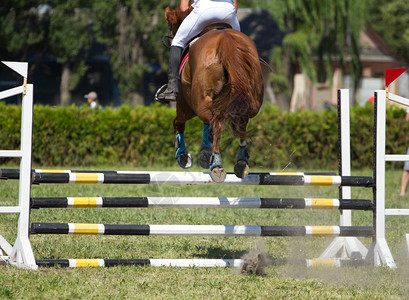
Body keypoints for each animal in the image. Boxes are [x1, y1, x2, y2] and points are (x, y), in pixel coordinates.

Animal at [164, 5, 262, 182]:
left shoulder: (186, 103)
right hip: (251, 100)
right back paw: (241, 162)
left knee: (214, 123)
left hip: (194, 103)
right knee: (239, 123)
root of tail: (226, 40)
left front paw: (184, 155)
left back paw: (216, 164)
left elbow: (179, 123)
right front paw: (204, 152)